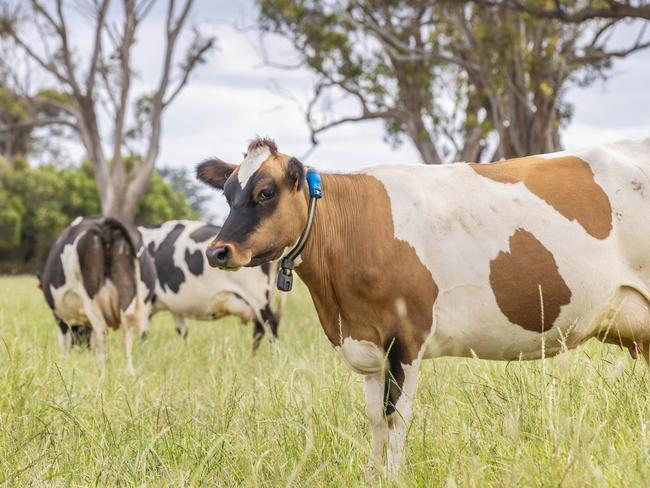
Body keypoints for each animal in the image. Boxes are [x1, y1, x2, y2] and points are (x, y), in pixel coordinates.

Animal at [40, 215, 157, 372]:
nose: (80, 348)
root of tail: (105, 223)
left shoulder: (60, 316)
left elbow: (64, 345)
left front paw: (63, 364)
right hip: (131, 297)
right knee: (127, 332)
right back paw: (129, 371)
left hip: (90, 301)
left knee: (102, 331)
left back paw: (102, 370)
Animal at [139, 219, 280, 348]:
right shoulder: (175, 307)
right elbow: (182, 332)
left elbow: (143, 332)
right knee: (260, 329)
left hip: (258, 296)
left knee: (270, 324)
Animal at [195, 136, 648, 472]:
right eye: (228, 194)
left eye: (265, 192)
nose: (217, 251)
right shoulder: (367, 344)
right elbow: (374, 419)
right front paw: (372, 474)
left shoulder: (406, 339)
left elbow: (395, 417)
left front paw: (392, 475)